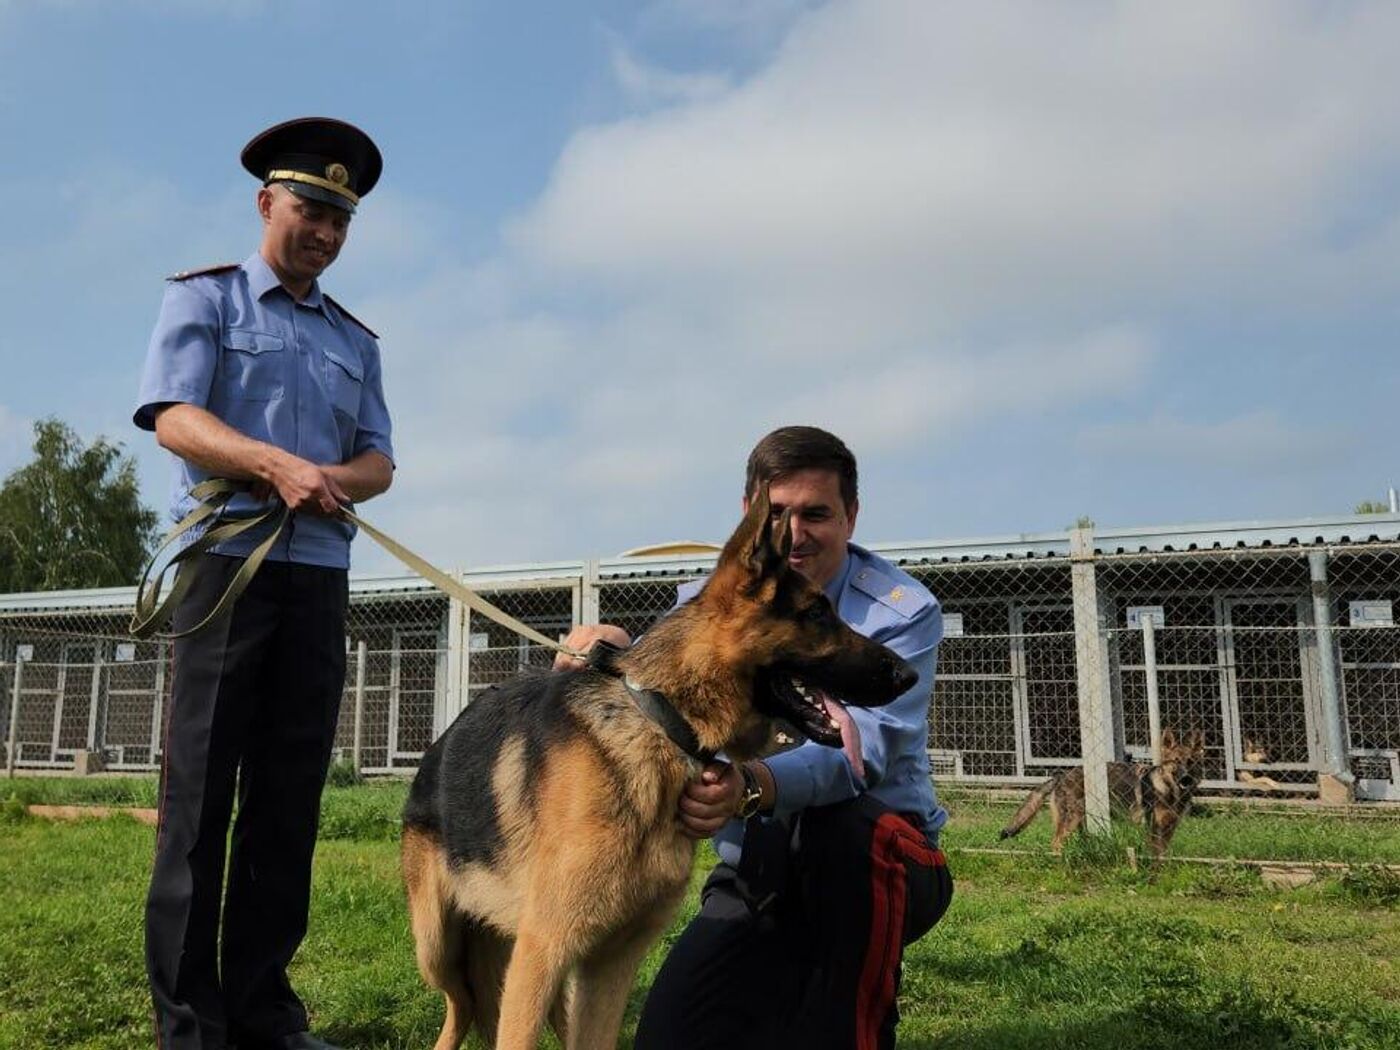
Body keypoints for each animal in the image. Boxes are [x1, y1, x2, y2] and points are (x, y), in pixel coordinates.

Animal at [400, 490, 918, 1047]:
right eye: (817, 614)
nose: (910, 674)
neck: (662, 725)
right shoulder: (544, 952)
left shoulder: (607, 964)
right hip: (438, 946)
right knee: (461, 1003)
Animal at [1002, 733, 1209, 862]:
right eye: (1176, 761)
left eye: (1190, 762)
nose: (1185, 779)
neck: (1168, 788)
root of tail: (1061, 776)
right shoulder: (1153, 829)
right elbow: (1155, 855)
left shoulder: (1168, 830)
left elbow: (1163, 855)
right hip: (1071, 822)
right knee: (1055, 844)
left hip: (1080, 824)